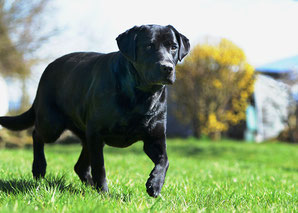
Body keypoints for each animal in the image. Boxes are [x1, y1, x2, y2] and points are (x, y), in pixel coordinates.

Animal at [0, 24, 190, 197]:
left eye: (173, 47)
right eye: (148, 46)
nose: (167, 67)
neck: (141, 95)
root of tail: (48, 68)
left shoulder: (154, 138)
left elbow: (164, 161)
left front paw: (154, 185)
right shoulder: (97, 133)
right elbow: (100, 167)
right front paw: (104, 193)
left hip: (84, 134)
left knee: (80, 166)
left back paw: (89, 186)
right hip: (52, 125)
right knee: (36, 134)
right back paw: (39, 168)